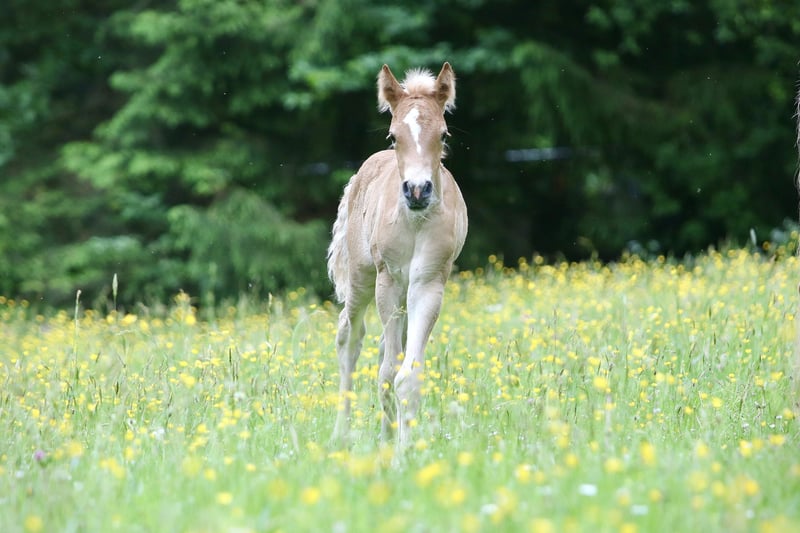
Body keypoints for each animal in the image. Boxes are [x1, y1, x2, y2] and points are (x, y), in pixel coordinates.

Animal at [327, 62, 468, 447]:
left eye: (444, 135)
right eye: (393, 137)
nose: (417, 190)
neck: (414, 222)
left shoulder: (428, 283)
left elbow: (406, 374)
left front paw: (405, 447)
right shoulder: (387, 281)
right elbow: (388, 370)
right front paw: (396, 448)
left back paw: (387, 434)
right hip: (362, 278)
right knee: (350, 337)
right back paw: (341, 434)